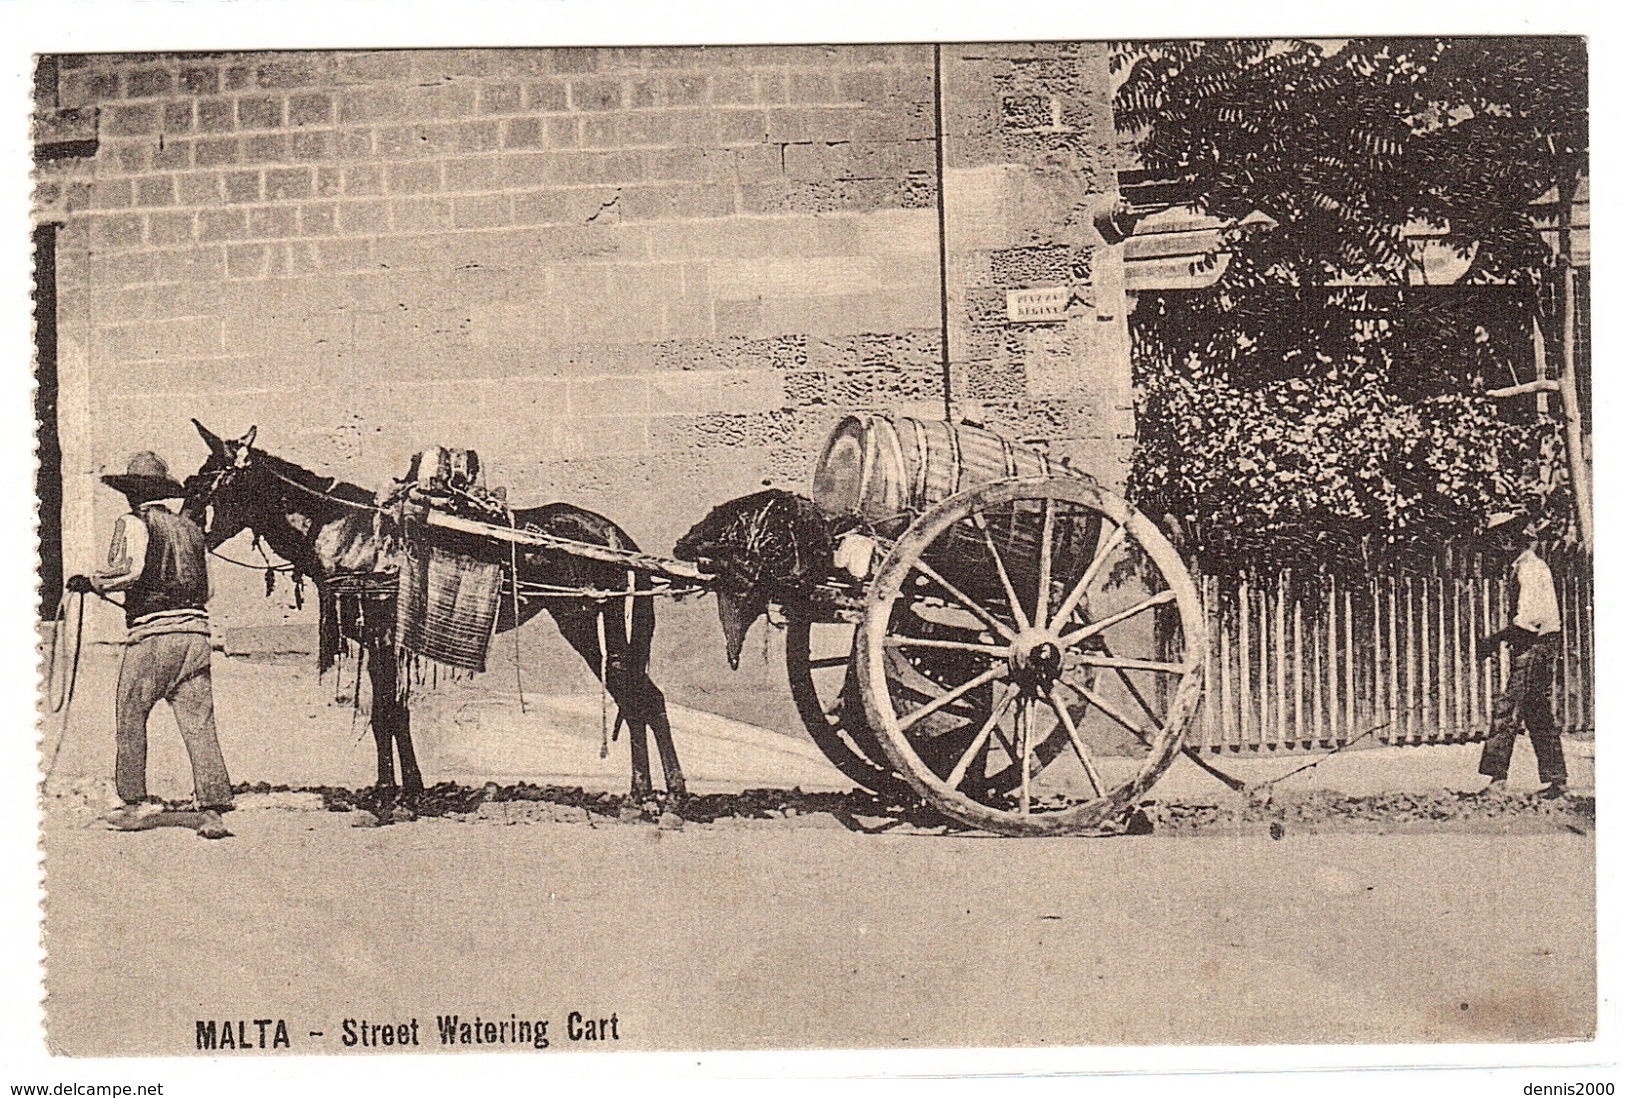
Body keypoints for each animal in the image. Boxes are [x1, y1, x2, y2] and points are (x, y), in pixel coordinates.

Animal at [182, 419, 685, 815]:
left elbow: (386, 713)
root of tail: (614, 534)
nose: (187, 530)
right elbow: (391, 714)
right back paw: (648, 790)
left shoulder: (381, 638)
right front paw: (404, 788)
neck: (342, 528)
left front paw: (394, 793)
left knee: (637, 694)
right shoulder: (385, 640)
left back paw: (661, 793)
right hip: (592, 621)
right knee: (637, 694)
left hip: (581, 619)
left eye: (207, 482)